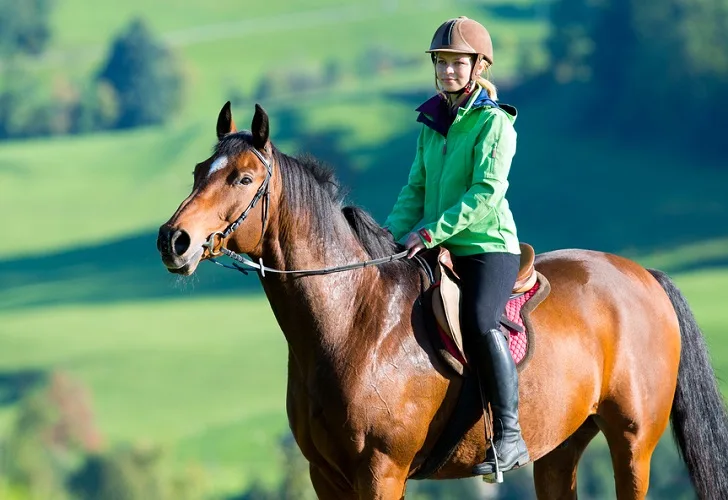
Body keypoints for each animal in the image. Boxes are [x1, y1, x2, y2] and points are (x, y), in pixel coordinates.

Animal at [158, 102, 728, 500]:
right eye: (198, 171)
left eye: (243, 178)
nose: (174, 240)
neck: (353, 320)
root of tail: (644, 276)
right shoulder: (327, 476)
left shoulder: (381, 471)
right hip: (560, 448)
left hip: (633, 441)